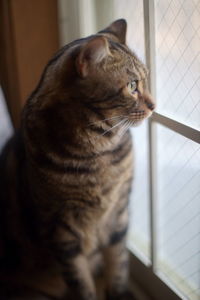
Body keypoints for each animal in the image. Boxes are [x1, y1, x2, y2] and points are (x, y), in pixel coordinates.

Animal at [0, 19, 155, 298]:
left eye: (145, 81)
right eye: (132, 86)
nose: (154, 105)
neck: (99, 152)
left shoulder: (118, 216)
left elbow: (119, 266)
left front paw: (119, 291)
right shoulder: (61, 233)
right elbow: (81, 282)